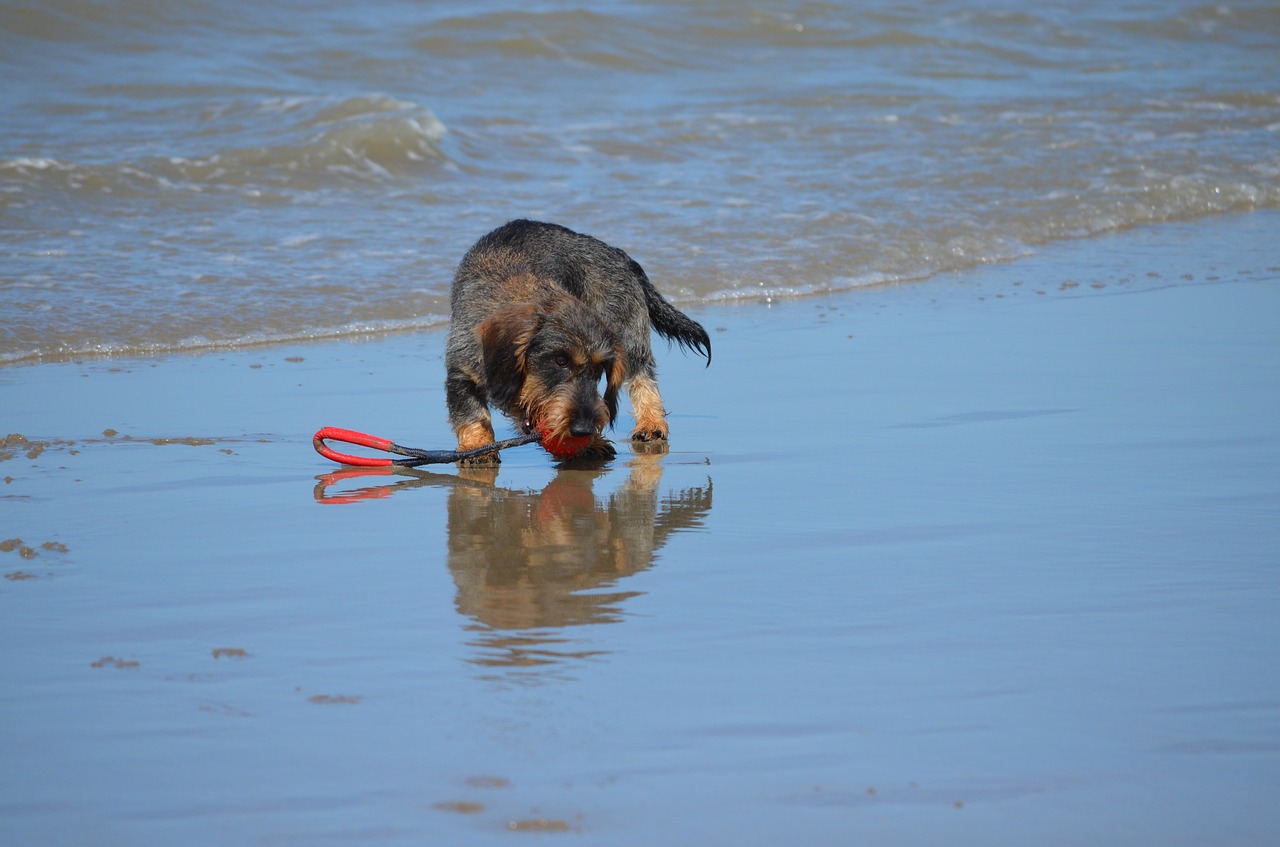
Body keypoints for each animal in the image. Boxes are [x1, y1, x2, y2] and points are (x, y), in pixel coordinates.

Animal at [445, 220, 711, 465]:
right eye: (560, 360)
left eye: (598, 369)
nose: (583, 429)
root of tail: (617, 254)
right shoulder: (461, 370)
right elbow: (472, 413)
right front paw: (478, 445)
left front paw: (592, 443)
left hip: (627, 334)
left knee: (642, 376)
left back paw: (650, 422)